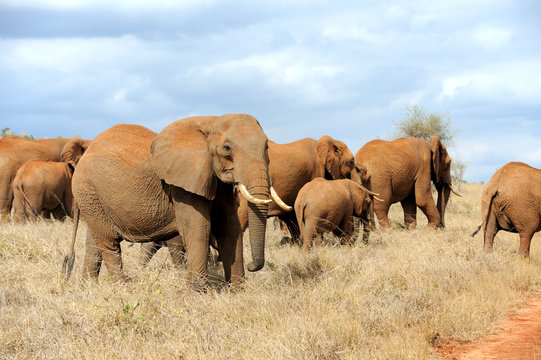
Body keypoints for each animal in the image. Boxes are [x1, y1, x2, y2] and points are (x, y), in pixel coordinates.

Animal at [62, 114, 286, 288]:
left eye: (266, 146)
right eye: (227, 148)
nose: (252, 266)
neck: (212, 122)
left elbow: (230, 228)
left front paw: (237, 290)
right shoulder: (182, 185)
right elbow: (198, 229)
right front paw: (199, 292)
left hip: (94, 198)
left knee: (94, 242)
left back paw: (88, 287)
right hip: (87, 190)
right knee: (109, 242)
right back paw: (124, 288)